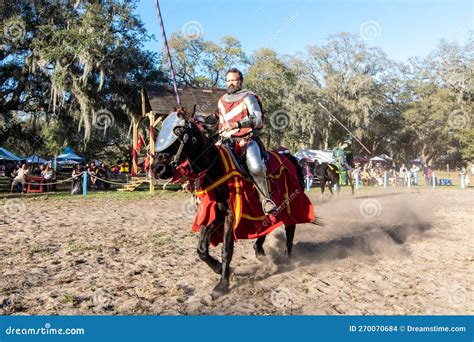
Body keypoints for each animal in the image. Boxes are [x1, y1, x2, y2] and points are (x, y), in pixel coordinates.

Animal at [153, 110, 312, 300]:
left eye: (179, 131)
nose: (157, 168)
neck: (215, 168)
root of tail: (289, 156)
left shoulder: (230, 215)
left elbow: (226, 250)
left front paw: (222, 285)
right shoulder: (214, 214)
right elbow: (201, 250)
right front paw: (220, 269)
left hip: (290, 202)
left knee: (290, 228)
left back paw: (287, 259)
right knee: (266, 225)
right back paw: (259, 251)